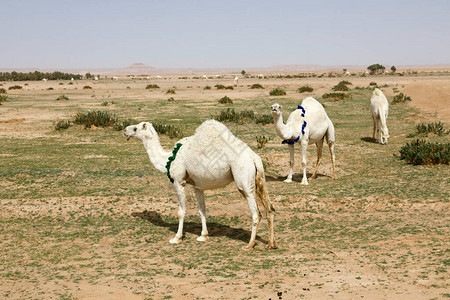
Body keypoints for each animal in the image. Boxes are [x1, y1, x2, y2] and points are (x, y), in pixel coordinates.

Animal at [124, 120, 278, 251]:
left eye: (136, 128)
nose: (125, 130)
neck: (169, 159)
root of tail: (254, 158)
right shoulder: (198, 186)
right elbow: (202, 210)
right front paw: (203, 236)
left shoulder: (179, 181)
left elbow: (181, 212)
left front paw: (176, 238)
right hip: (259, 180)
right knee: (269, 209)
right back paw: (271, 244)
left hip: (244, 182)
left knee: (256, 214)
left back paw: (249, 245)